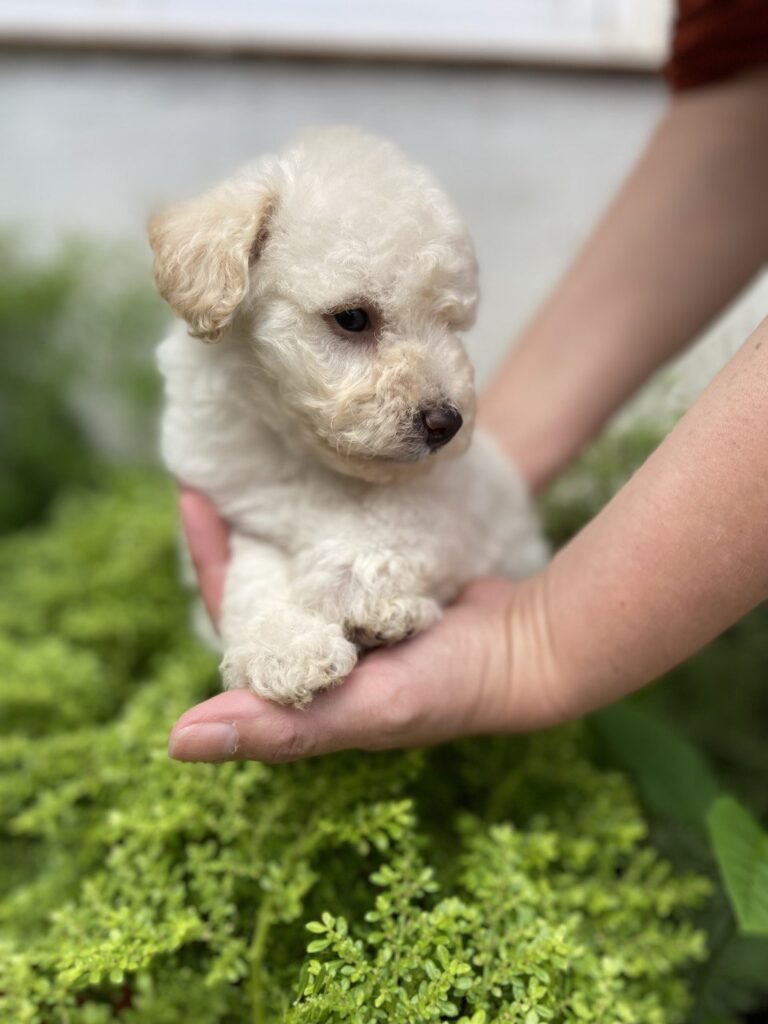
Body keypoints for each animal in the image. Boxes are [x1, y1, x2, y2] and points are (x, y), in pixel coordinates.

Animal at [150, 125, 548, 704]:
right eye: (353, 318)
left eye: (451, 324)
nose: (447, 424)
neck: (309, 455)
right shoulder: (232, 495)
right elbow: (256, 570)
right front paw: (286, 648)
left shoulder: (456, 501)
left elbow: (388, 522)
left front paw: (360, 592)